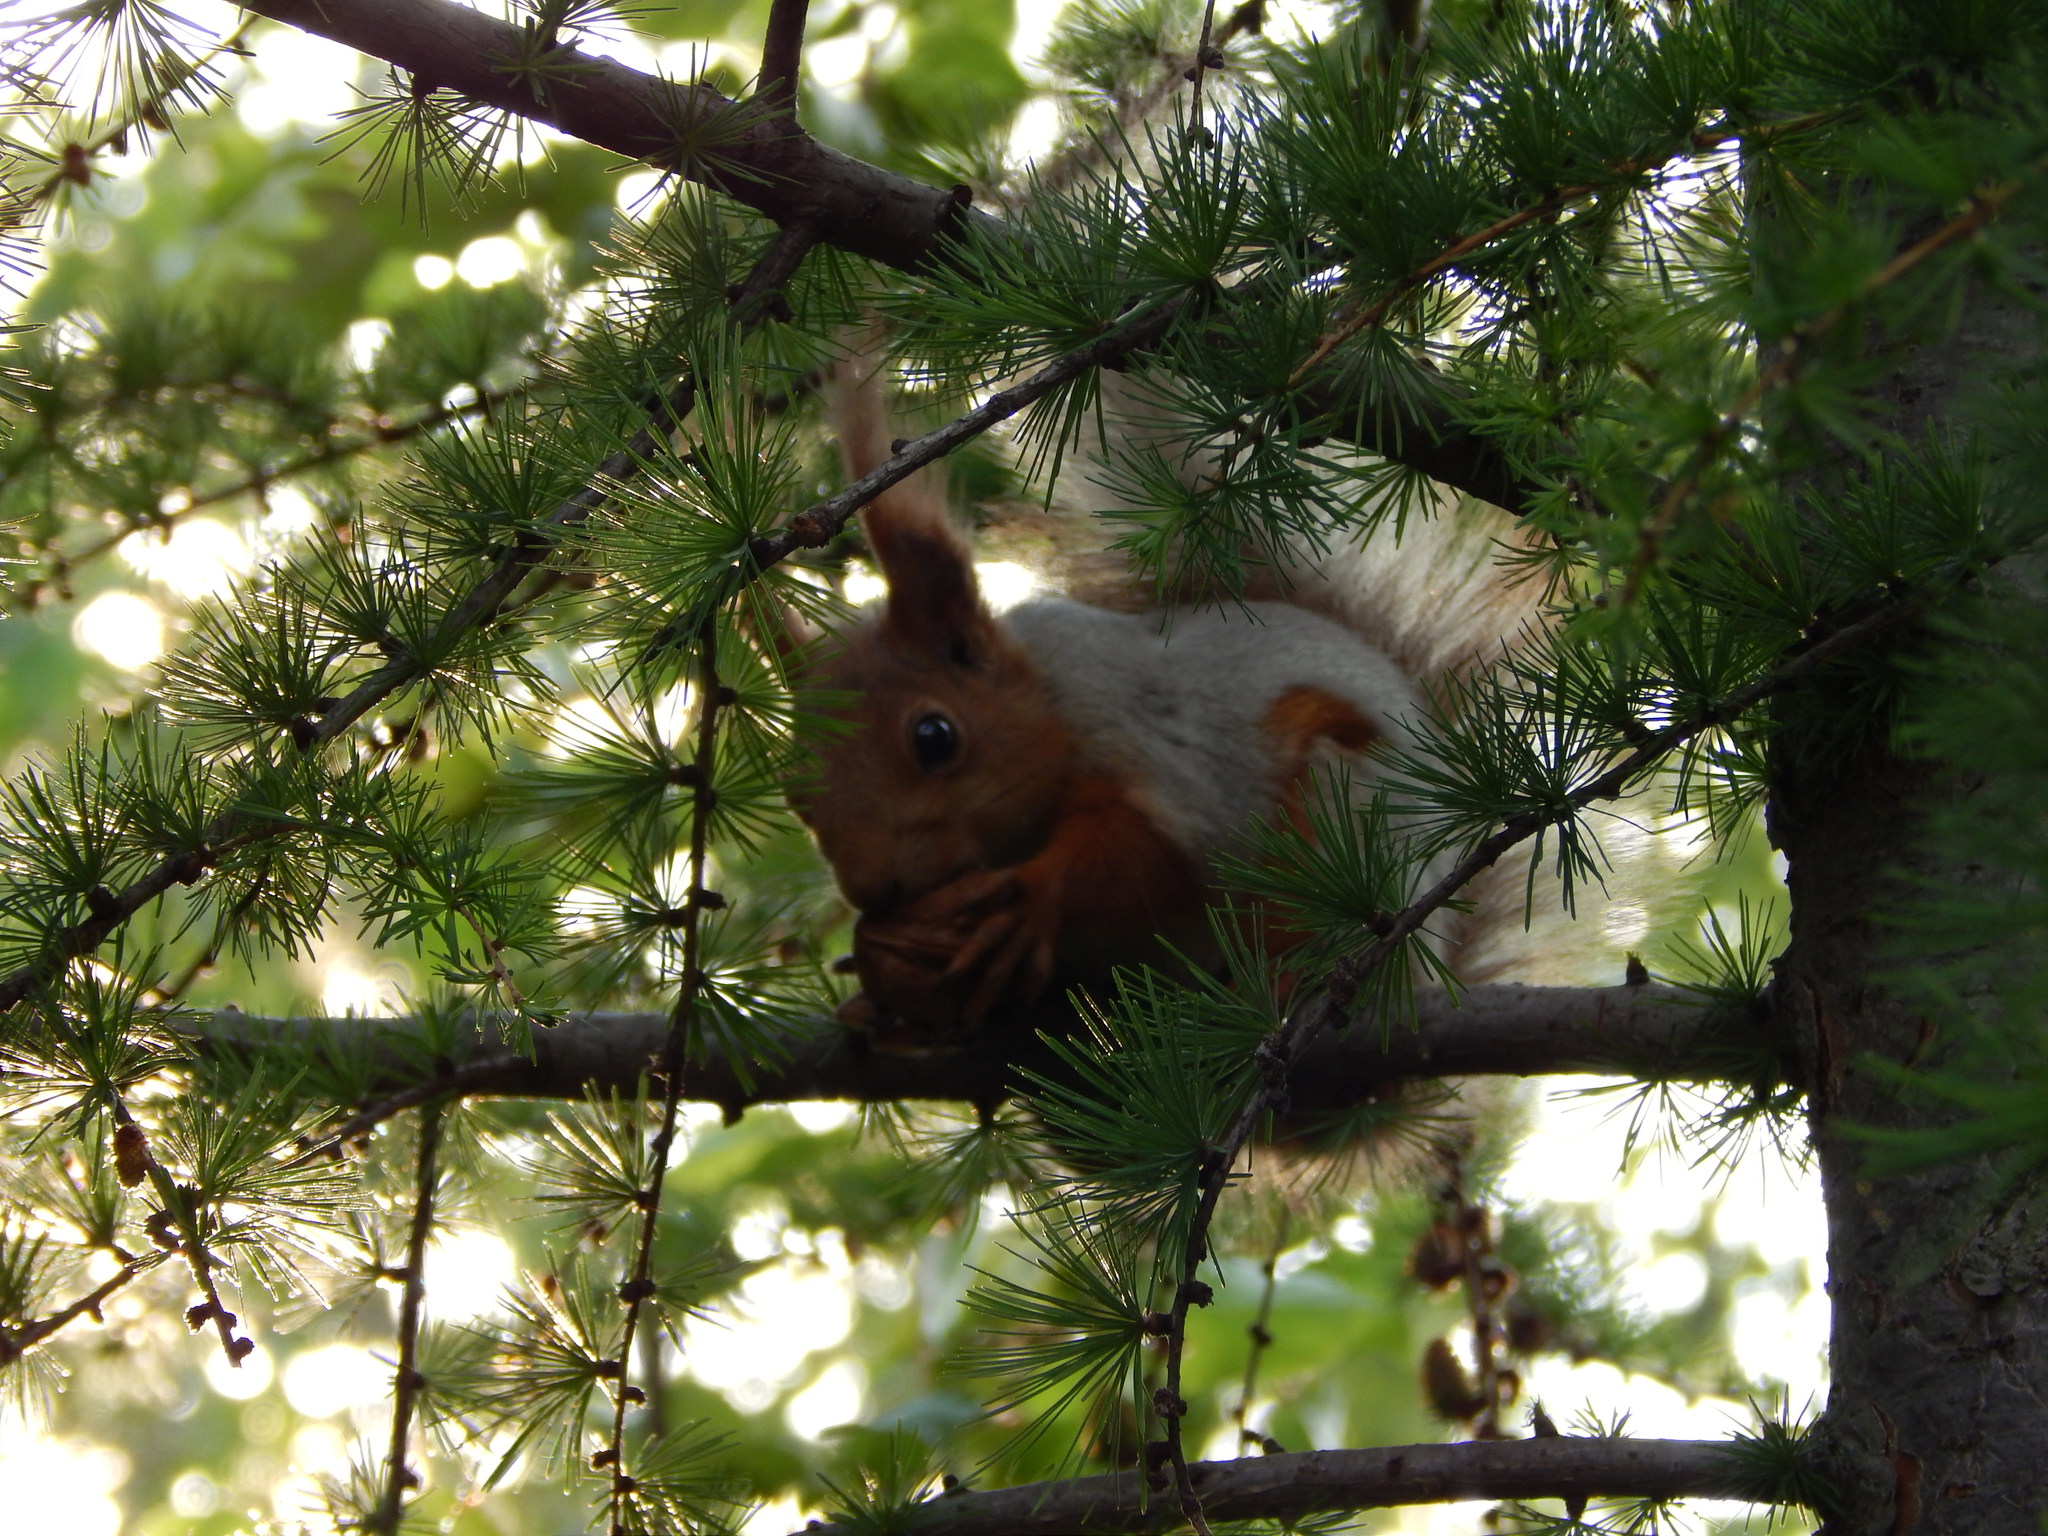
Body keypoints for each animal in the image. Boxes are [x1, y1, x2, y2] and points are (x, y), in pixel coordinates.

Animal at [790, 352, 1540, 1048]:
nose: (870, 890)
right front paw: (882, 993)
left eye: (935, 738)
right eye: (796, 798)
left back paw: (1289, 985)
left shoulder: (1157, 737)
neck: (1045, 697)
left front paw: (1031, 897)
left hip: (1352, 835)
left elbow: (1155, 855)